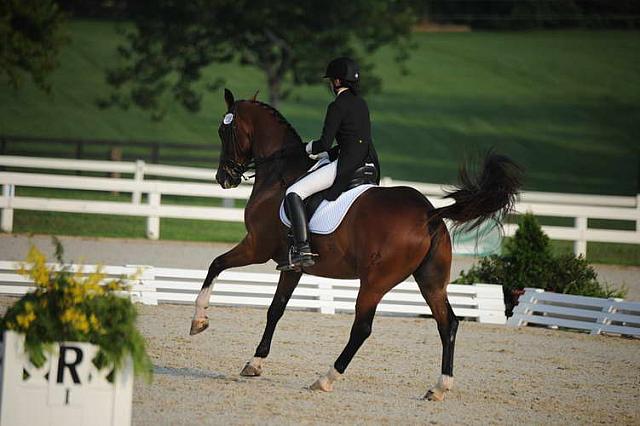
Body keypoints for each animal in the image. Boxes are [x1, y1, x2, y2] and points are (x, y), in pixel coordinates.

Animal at [190, 88, 520, 402]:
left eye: (224, 130)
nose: (224, 178)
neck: (279, 173)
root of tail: (429, 213)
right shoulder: (292, 266)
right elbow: (276, 309)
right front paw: (254, 363)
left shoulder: (256, 247)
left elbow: (216, 264)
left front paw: (199, 321)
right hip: (431, 281)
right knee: (447, 323)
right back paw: (438, 388)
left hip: (375, 282)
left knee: (362, 328)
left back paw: (325, 379)